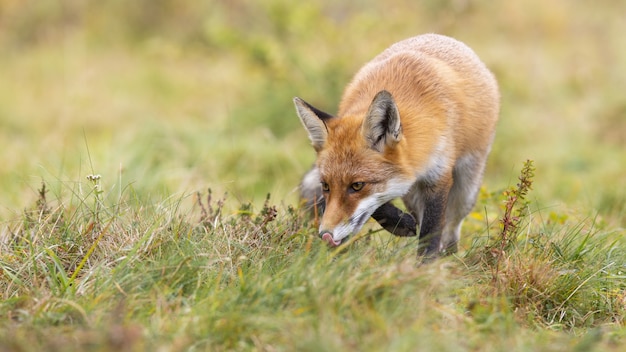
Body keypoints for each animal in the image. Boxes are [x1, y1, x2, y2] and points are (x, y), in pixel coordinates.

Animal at [292, 33, 498, 258]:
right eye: (326, 186)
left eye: (357, 185)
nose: (325, 234)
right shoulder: (407, 176)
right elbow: (384, 205)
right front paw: (400, 223)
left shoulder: (438, 173)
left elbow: (432, 229)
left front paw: (425, 265)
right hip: (413, 195)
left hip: (466, 187)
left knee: (451, 226)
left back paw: (448, 256)